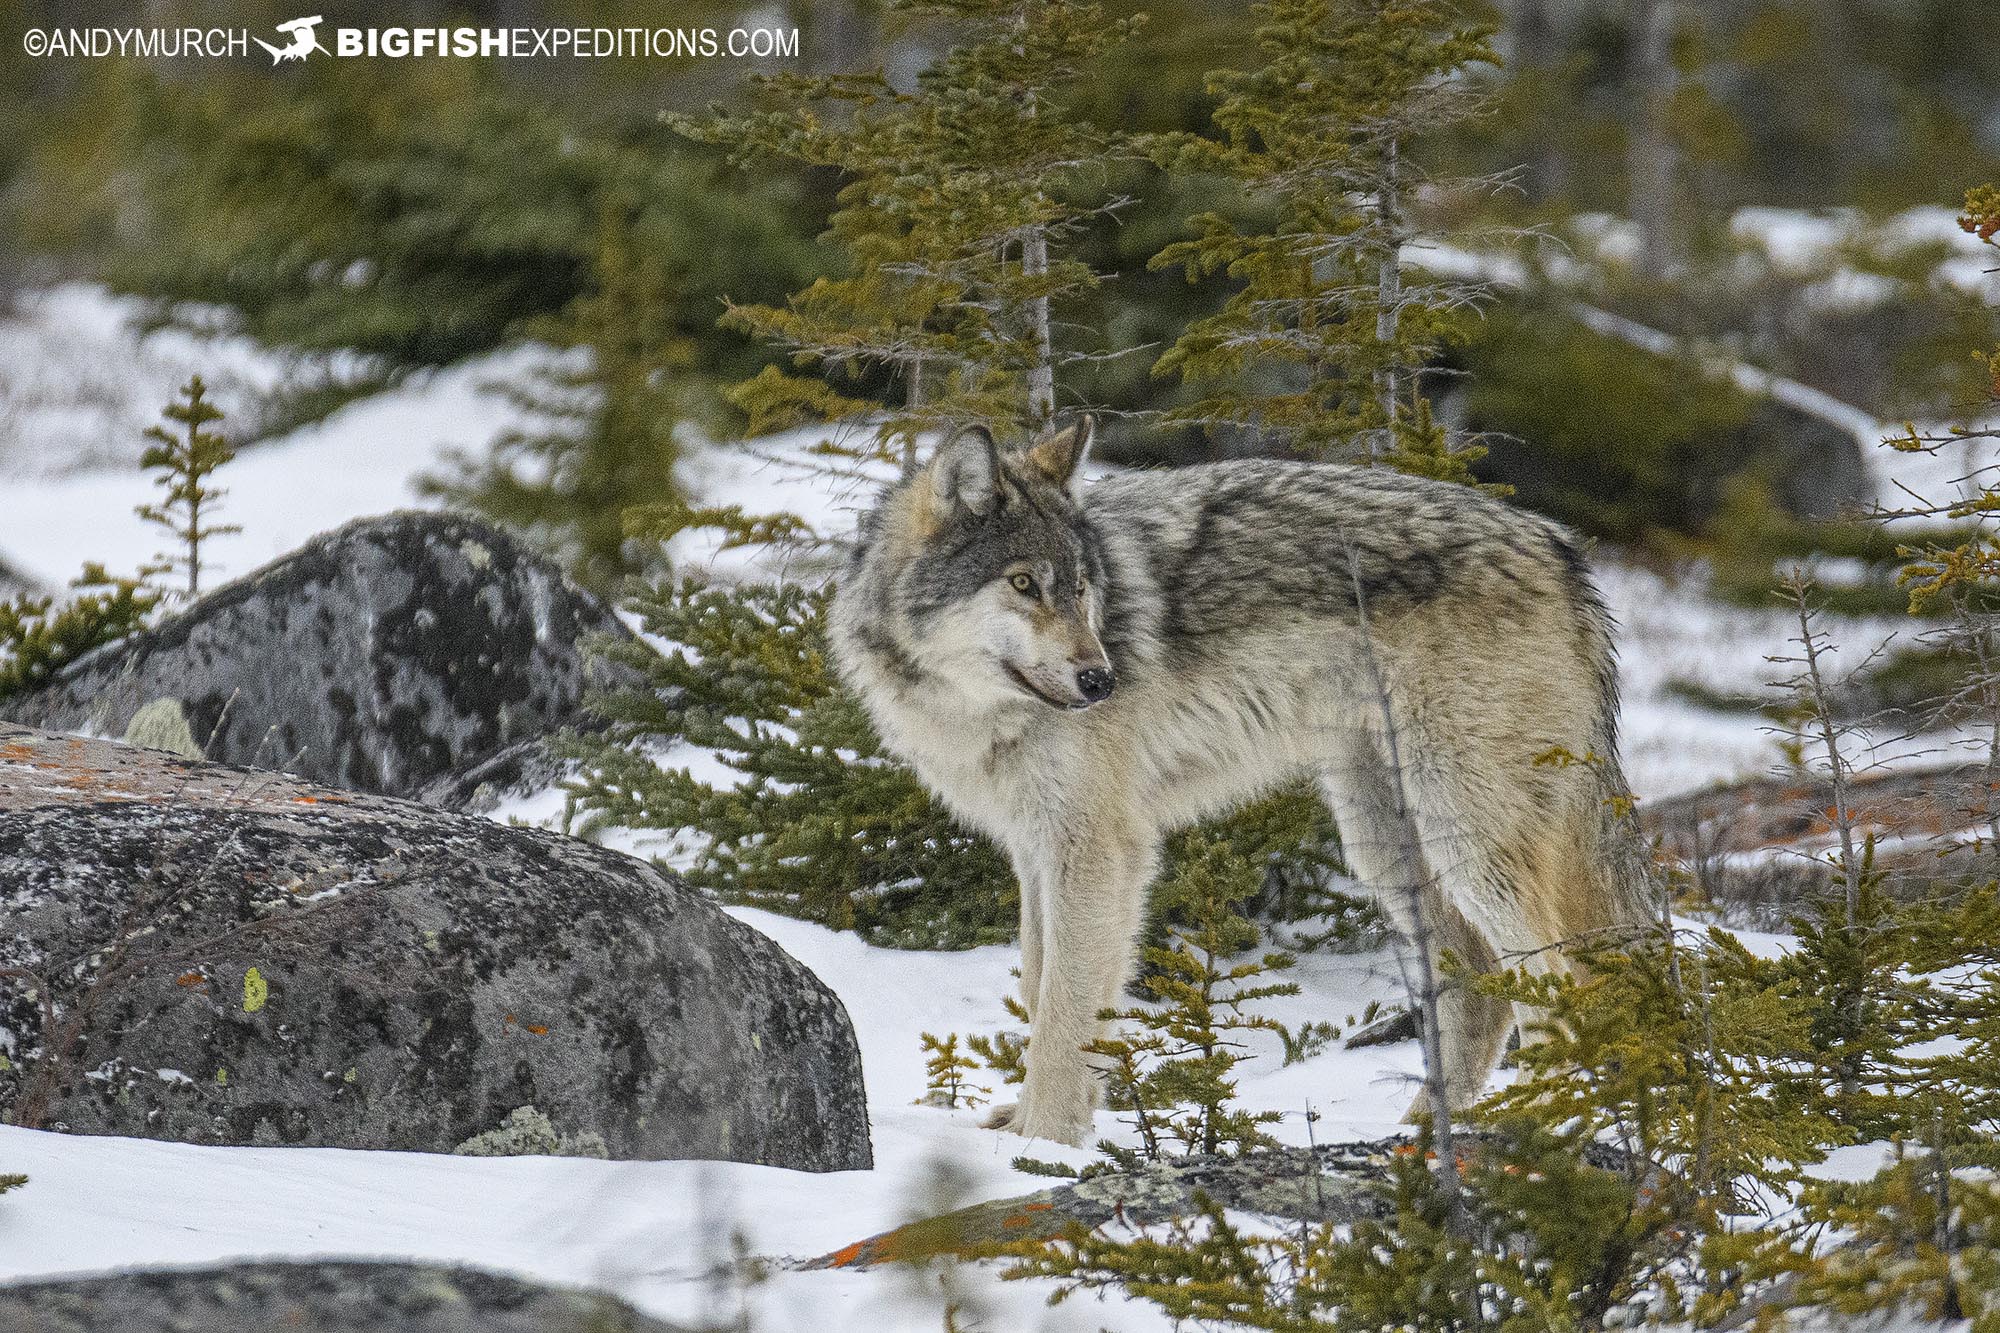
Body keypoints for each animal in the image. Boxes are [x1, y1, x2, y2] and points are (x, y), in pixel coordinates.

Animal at [829, 418, 1652, 1145]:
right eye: (1026, 584)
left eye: (1085, 587)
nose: (1102, 680)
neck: (973, 710)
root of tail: (1564, 551)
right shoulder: (1036, 851)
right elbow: (1042, 990)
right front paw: (1037, 1127)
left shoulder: (1099, 850)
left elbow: (1065, 1009)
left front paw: (1047, 1144)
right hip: (1386, 842)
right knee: (1485, 997)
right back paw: (1418, 1141)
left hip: (1466, 840)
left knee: (1564, 988)